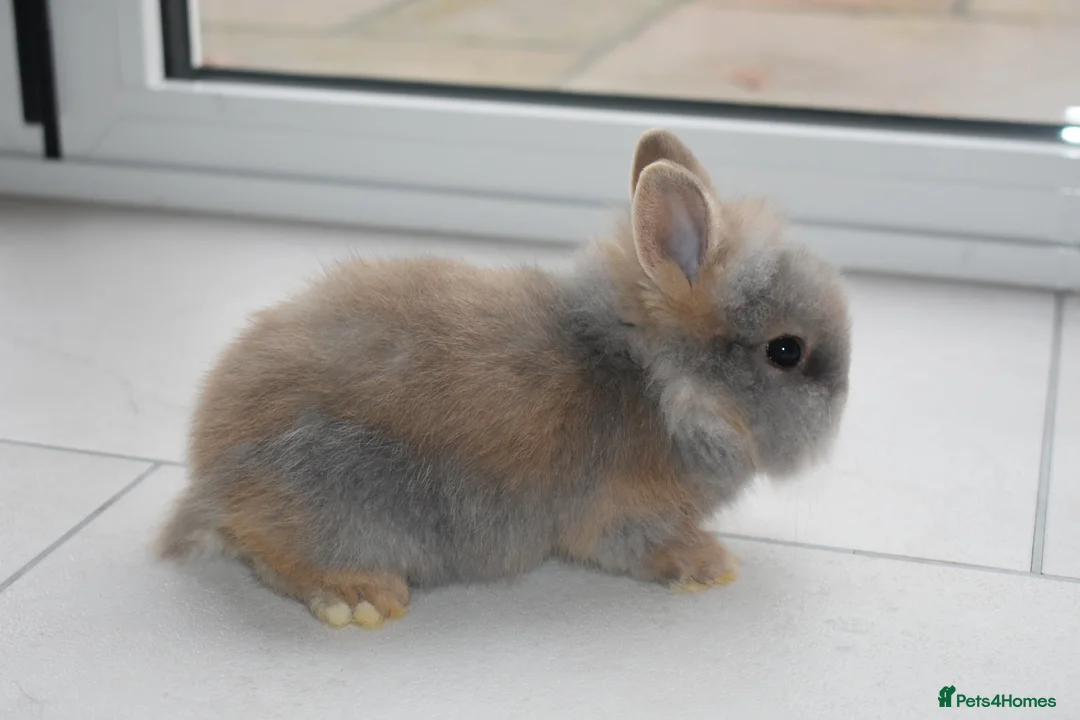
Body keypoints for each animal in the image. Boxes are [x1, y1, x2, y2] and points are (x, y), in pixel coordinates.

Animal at [157, 129, 851, 629]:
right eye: (786, 351)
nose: (842, 402)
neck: (658, 380)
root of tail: (210, 478)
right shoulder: (621, 513)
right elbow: (644, 547)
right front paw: (708, 563)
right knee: (271, 556)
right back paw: (360, 596)